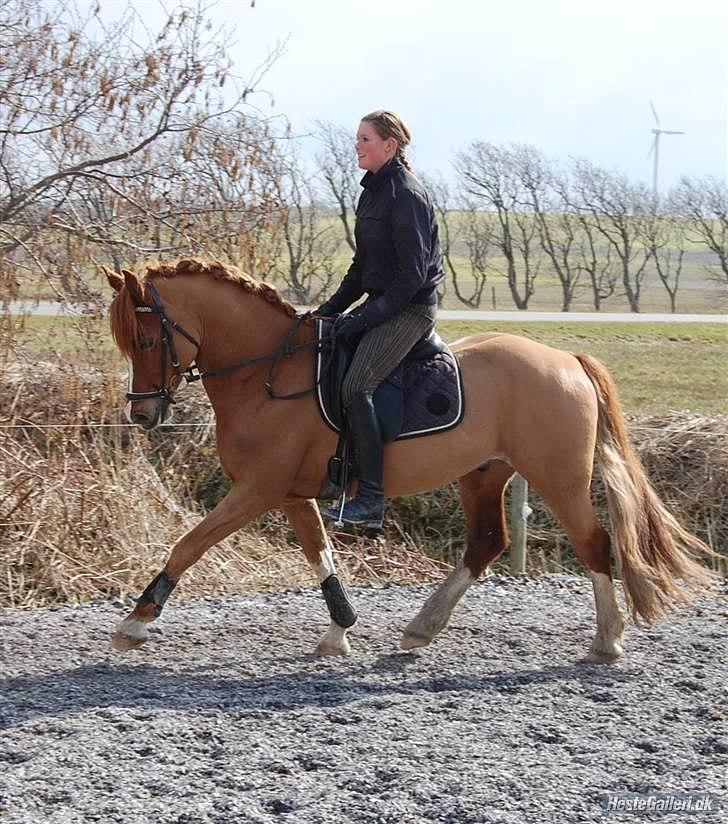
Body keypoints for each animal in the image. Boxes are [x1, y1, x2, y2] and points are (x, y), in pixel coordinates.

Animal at [105, 258, 712, 664]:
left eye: (146, 339)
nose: (143, 415)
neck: (265, 372)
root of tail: (567, 358)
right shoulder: (292, 494)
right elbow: (320, 556)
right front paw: (340, 631)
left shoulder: (257, 490)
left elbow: (189, 544)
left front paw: (136, 620)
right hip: (484, 474)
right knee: (486, 543)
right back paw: (422, 627)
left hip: (557, 477)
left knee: (593, 543)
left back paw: (607, 641)